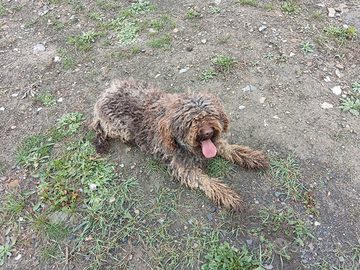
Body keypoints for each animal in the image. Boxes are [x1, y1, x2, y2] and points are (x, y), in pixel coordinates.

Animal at [91, 78, 268, 213]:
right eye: (190, 122)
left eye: (211, 115)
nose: (208, 132)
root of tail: (103, 94)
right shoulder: (183, 169)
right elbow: (209, 183)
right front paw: (229, 196)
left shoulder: (215, 143)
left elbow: (231, 149)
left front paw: (252, 157)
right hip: (120, 128)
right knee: (102, 127)